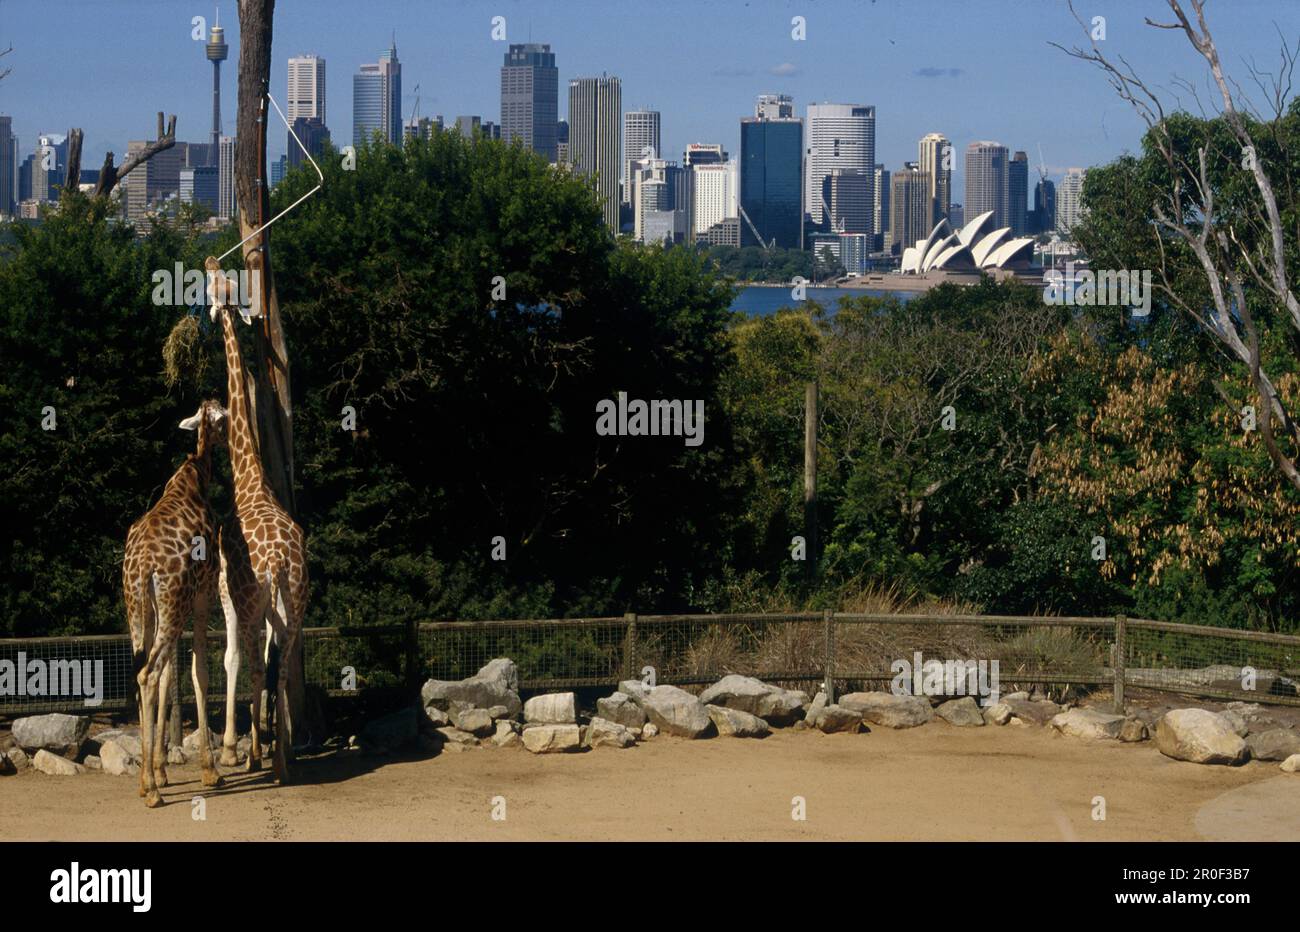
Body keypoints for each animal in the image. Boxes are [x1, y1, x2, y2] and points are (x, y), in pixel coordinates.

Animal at [122, 399, 228, 808]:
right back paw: (151, 792)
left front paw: (162, 767)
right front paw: (210, 771)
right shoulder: (202, 595)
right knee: (148, 673)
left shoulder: (177, 606)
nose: (227, 433)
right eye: (221, 418)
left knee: (142, 671)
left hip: (139, 609)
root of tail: (143, 565)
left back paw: (145, 782)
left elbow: (171, 677)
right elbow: (198, 672)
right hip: (171, 603)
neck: (195, 476)